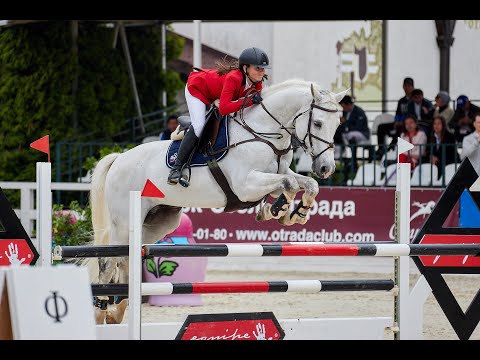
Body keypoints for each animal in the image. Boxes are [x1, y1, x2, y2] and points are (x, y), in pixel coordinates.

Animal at [88, 78, 346, 320]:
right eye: (318, 123)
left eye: (337, 125)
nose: (326, 168)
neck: (263, 133)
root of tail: (118, 158)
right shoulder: (245, 185)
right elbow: (289, 184)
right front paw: (277, 211)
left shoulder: (276, 176)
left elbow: (305, 184)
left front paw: (295, 213)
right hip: (124, 222)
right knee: (108, 261)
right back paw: (102, 312)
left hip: (158, 221)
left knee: (125, 258)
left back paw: (118, 310)